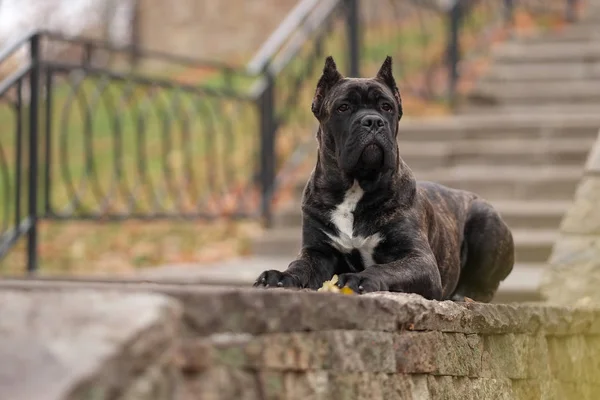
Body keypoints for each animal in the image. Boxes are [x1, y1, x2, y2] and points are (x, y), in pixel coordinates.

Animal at [251, 55, 512, 300]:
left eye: (387, 107)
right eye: (343, 107)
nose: (373, 120)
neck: (355, 187)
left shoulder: (419, 259)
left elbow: (386, 268)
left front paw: (359, 279)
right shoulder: (318, 252)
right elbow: (300, 265)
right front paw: (280, 276)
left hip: (485, 220)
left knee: (485, 286)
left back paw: (464, 295)